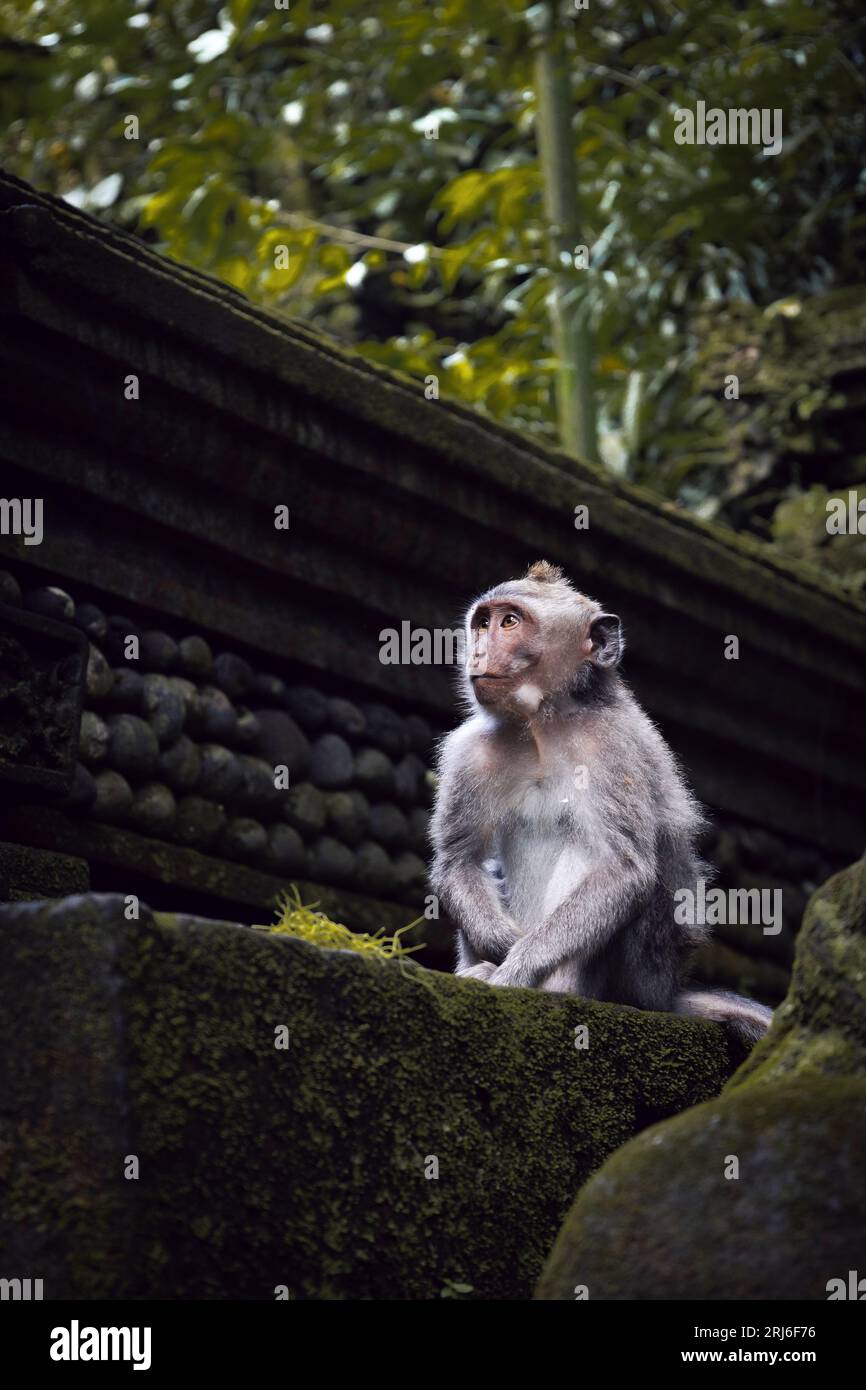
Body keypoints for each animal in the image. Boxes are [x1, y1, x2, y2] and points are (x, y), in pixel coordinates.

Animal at [430, 558, 778, 1045]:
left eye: (510, 622)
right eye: (483, 623)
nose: (478, 651)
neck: (544, 722)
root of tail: (665, 995)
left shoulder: (610, 748)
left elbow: (624, 868)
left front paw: (518, 967)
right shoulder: (471, 751)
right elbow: (460, 862)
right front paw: (501, 945)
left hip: (641, 969)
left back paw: (558, 989)